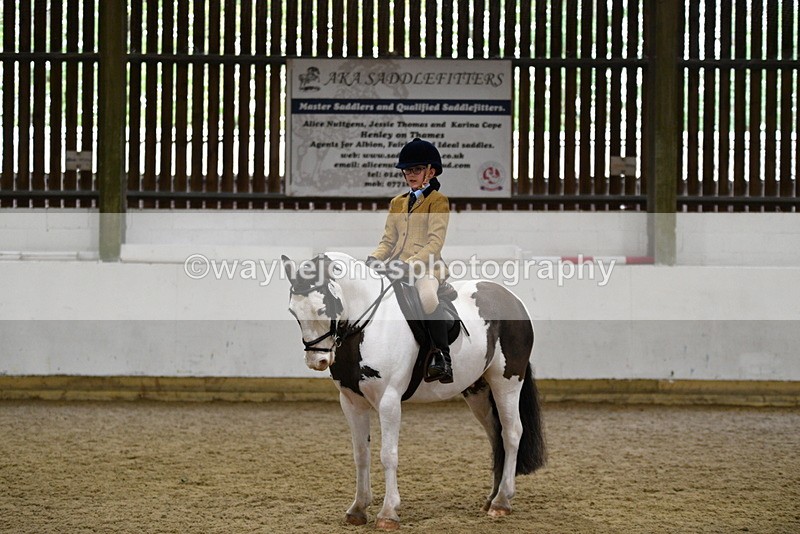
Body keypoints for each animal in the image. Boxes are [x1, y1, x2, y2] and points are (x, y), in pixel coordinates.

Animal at [281, 252, 546, 530]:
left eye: (323, 309)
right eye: (293, 311)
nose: (317, 361)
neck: (368, 326)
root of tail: (513, 299)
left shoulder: (389, 401)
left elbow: (388, 455)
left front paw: (388, 513)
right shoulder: (352, 402)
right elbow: (361, 453)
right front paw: (358, 509)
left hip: (507, 382)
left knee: (512, 433)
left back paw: (502, 501)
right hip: (479, 390)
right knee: (496, 436)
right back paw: (491, 498)